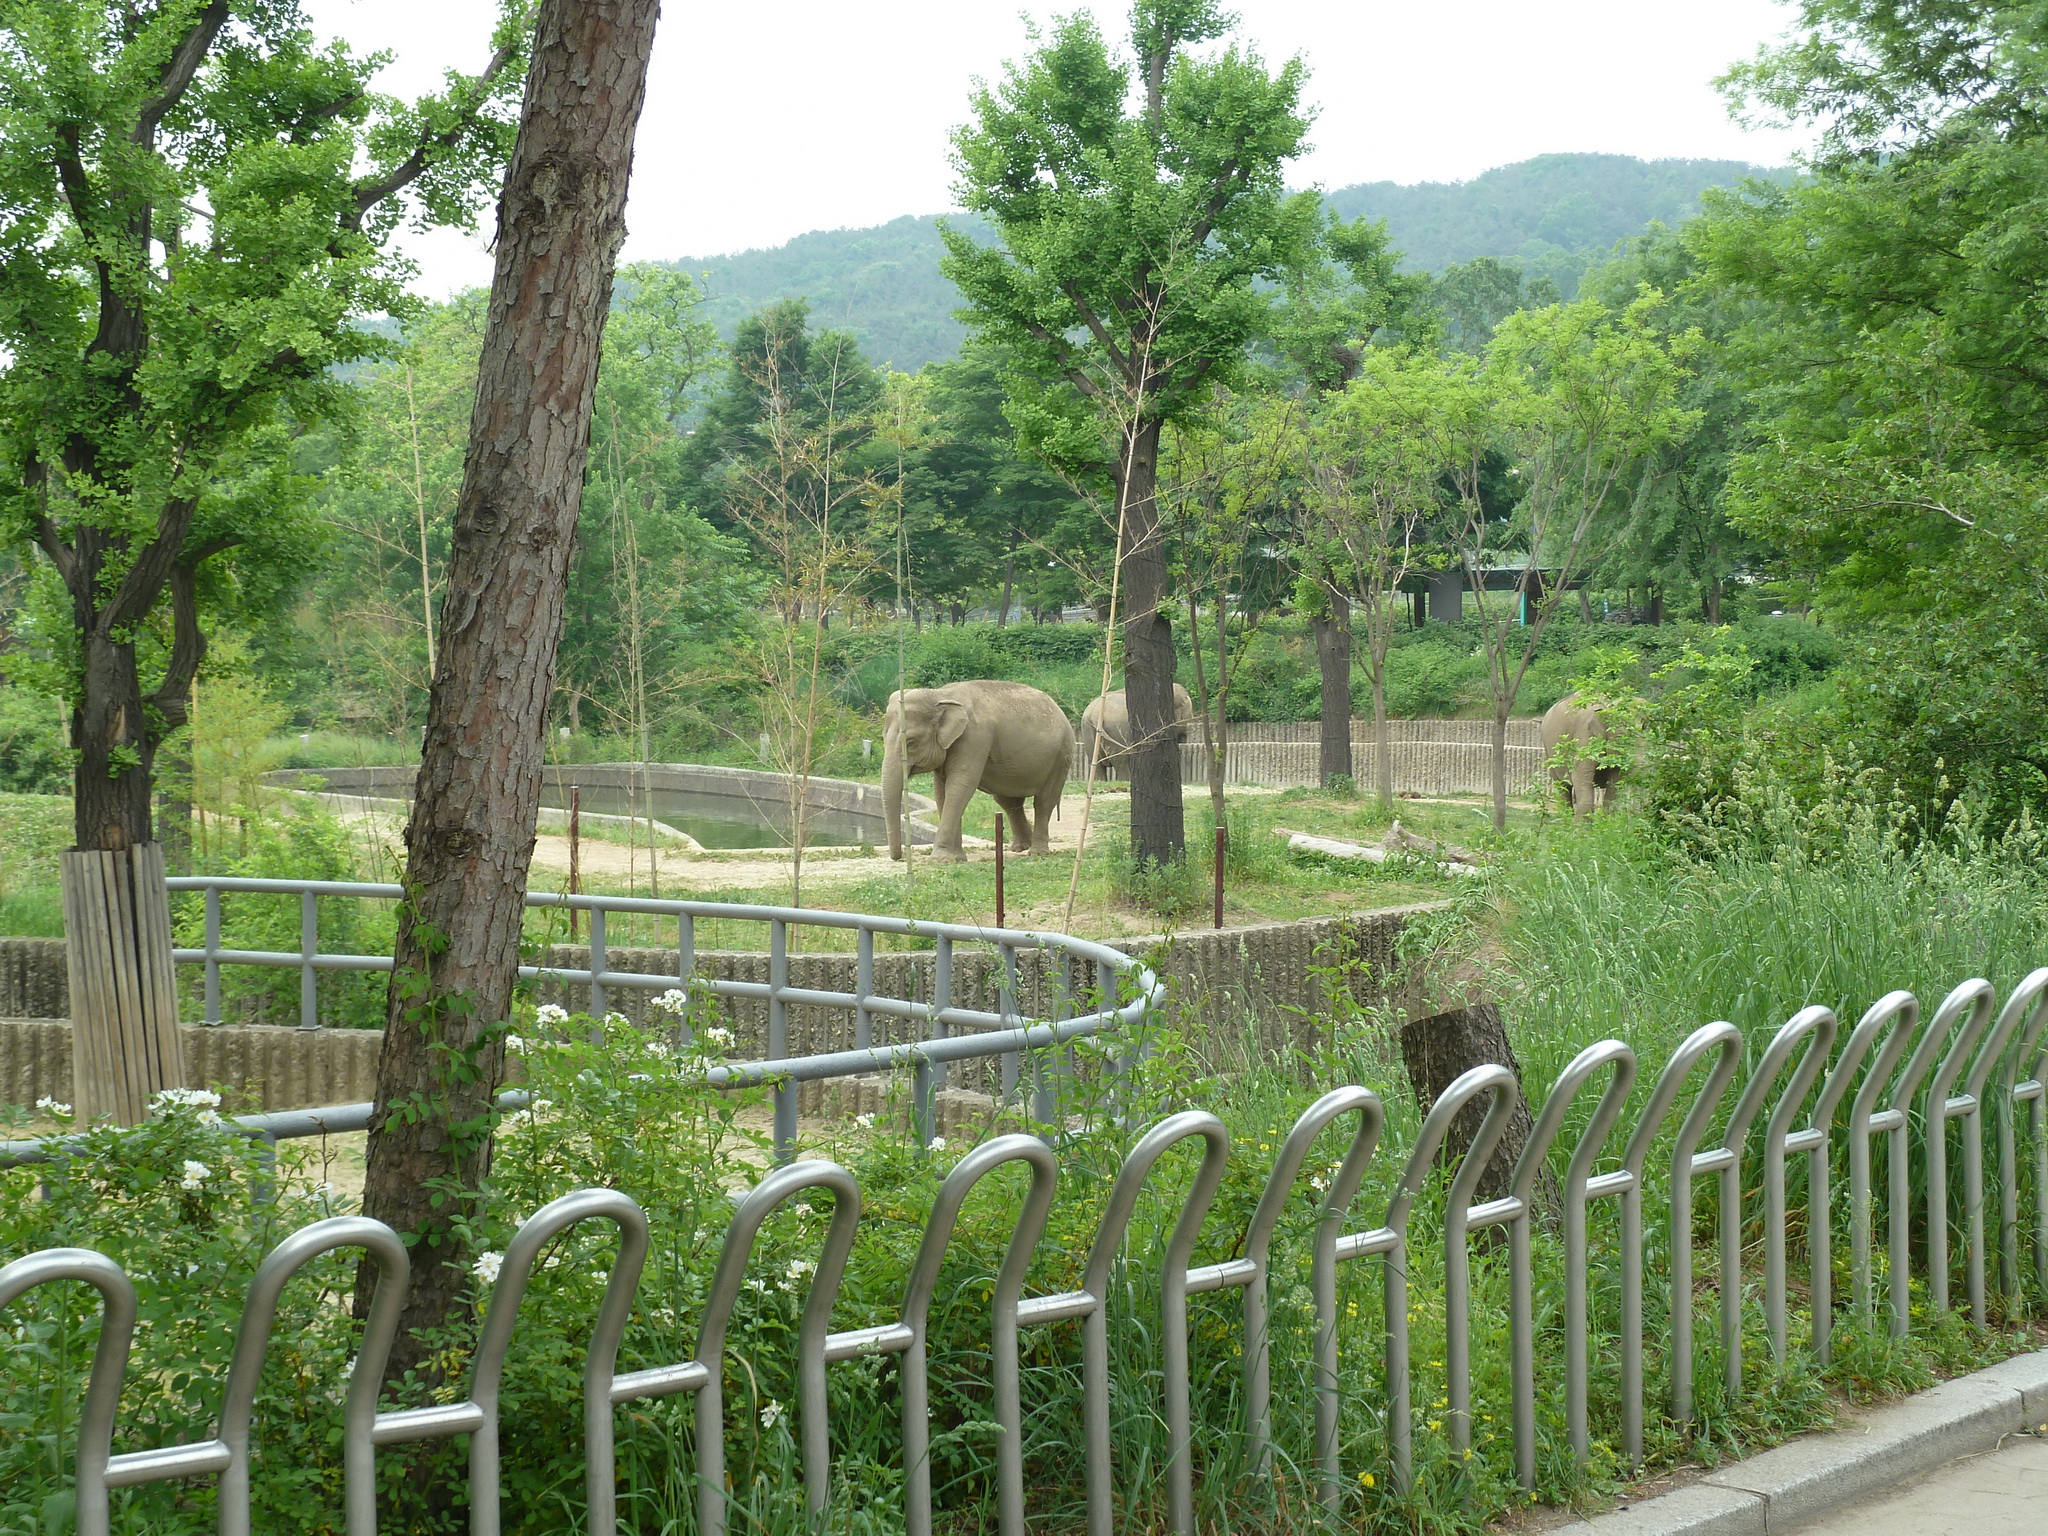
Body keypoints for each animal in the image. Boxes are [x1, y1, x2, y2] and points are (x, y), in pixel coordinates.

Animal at [880, 684, 1073, 868]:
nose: (899, 857)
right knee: (1008, 802)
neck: (940, 694)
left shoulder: (974, 738)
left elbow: (960, 786)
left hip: (1060, 758)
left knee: (1044, 801)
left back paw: (1037, 852)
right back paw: (1020, 847)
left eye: (910, 742)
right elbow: (941, 792)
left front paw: (941, 859)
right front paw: (956, 858)